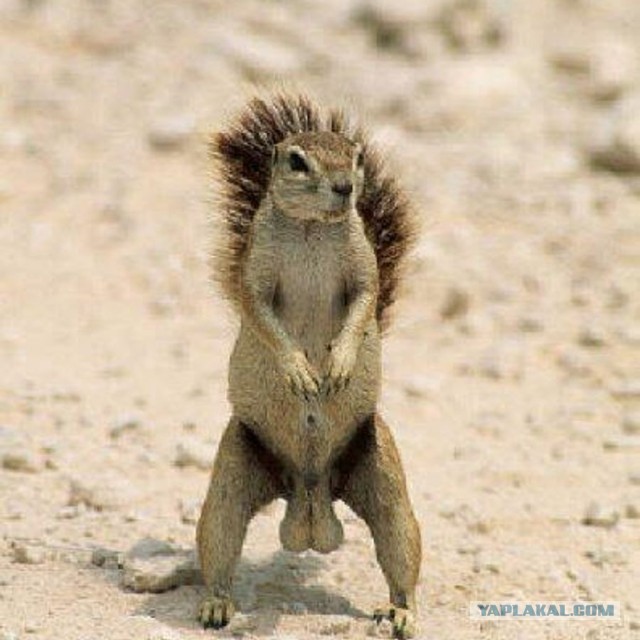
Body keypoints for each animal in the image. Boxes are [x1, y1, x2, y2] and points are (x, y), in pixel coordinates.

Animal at [196, 93, 422, 639]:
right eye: (297, 162)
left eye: (356, 156)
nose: (345, 187)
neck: (311, 229)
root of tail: (310, 493)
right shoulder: (255, 275)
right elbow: (260, 313)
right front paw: (298, 369)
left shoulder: (363, 267)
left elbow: (364, 303)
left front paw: (338, 362)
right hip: (232, 472)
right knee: (220, 539)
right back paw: (215, 604)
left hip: (383, 474)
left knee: (399, 550)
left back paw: (401, 612)